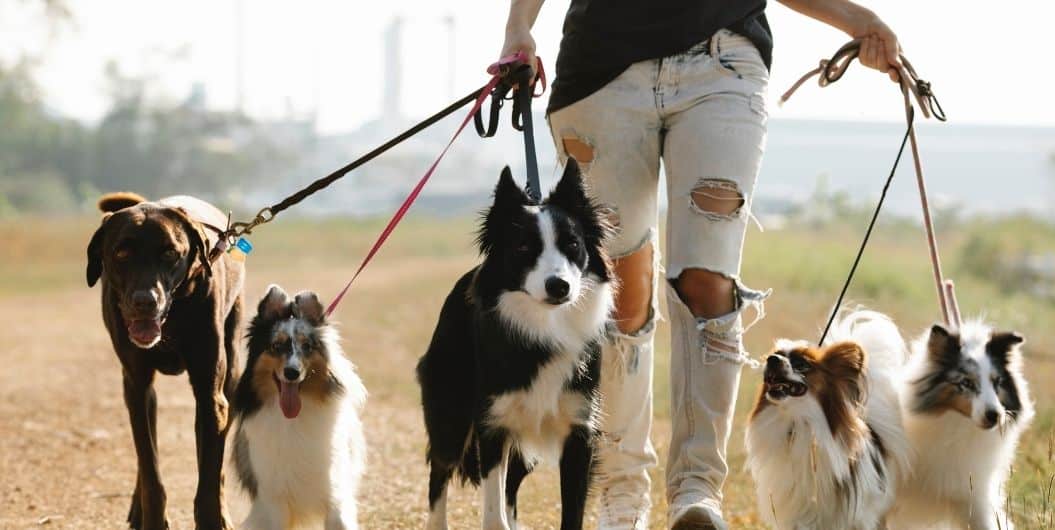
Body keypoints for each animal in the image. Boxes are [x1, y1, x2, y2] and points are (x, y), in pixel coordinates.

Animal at [87, 191, 244, 530]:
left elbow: (209, 478)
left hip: (231, 375)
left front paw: (212, 519)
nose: (145, 301)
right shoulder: (137, 385)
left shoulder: (211, 395)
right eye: (121, 253)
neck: (172, 318)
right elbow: (150, 469)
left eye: (170, 253)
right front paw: (153, 518)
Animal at [231, 285, 367, 530]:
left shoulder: (335, 493)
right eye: (276, 346)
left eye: (307, 346)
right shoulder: (274, 501)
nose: (292, 373)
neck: (293, 420)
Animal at [411, 160, 611, 530]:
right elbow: (492, 508)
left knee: (512, 484)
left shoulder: (580, 430)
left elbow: (570, 512)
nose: (559, 286)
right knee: (440, 472)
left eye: (573, 245)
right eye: (522, 248)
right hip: (451, 410)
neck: (543, 327)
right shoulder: (492, 423)